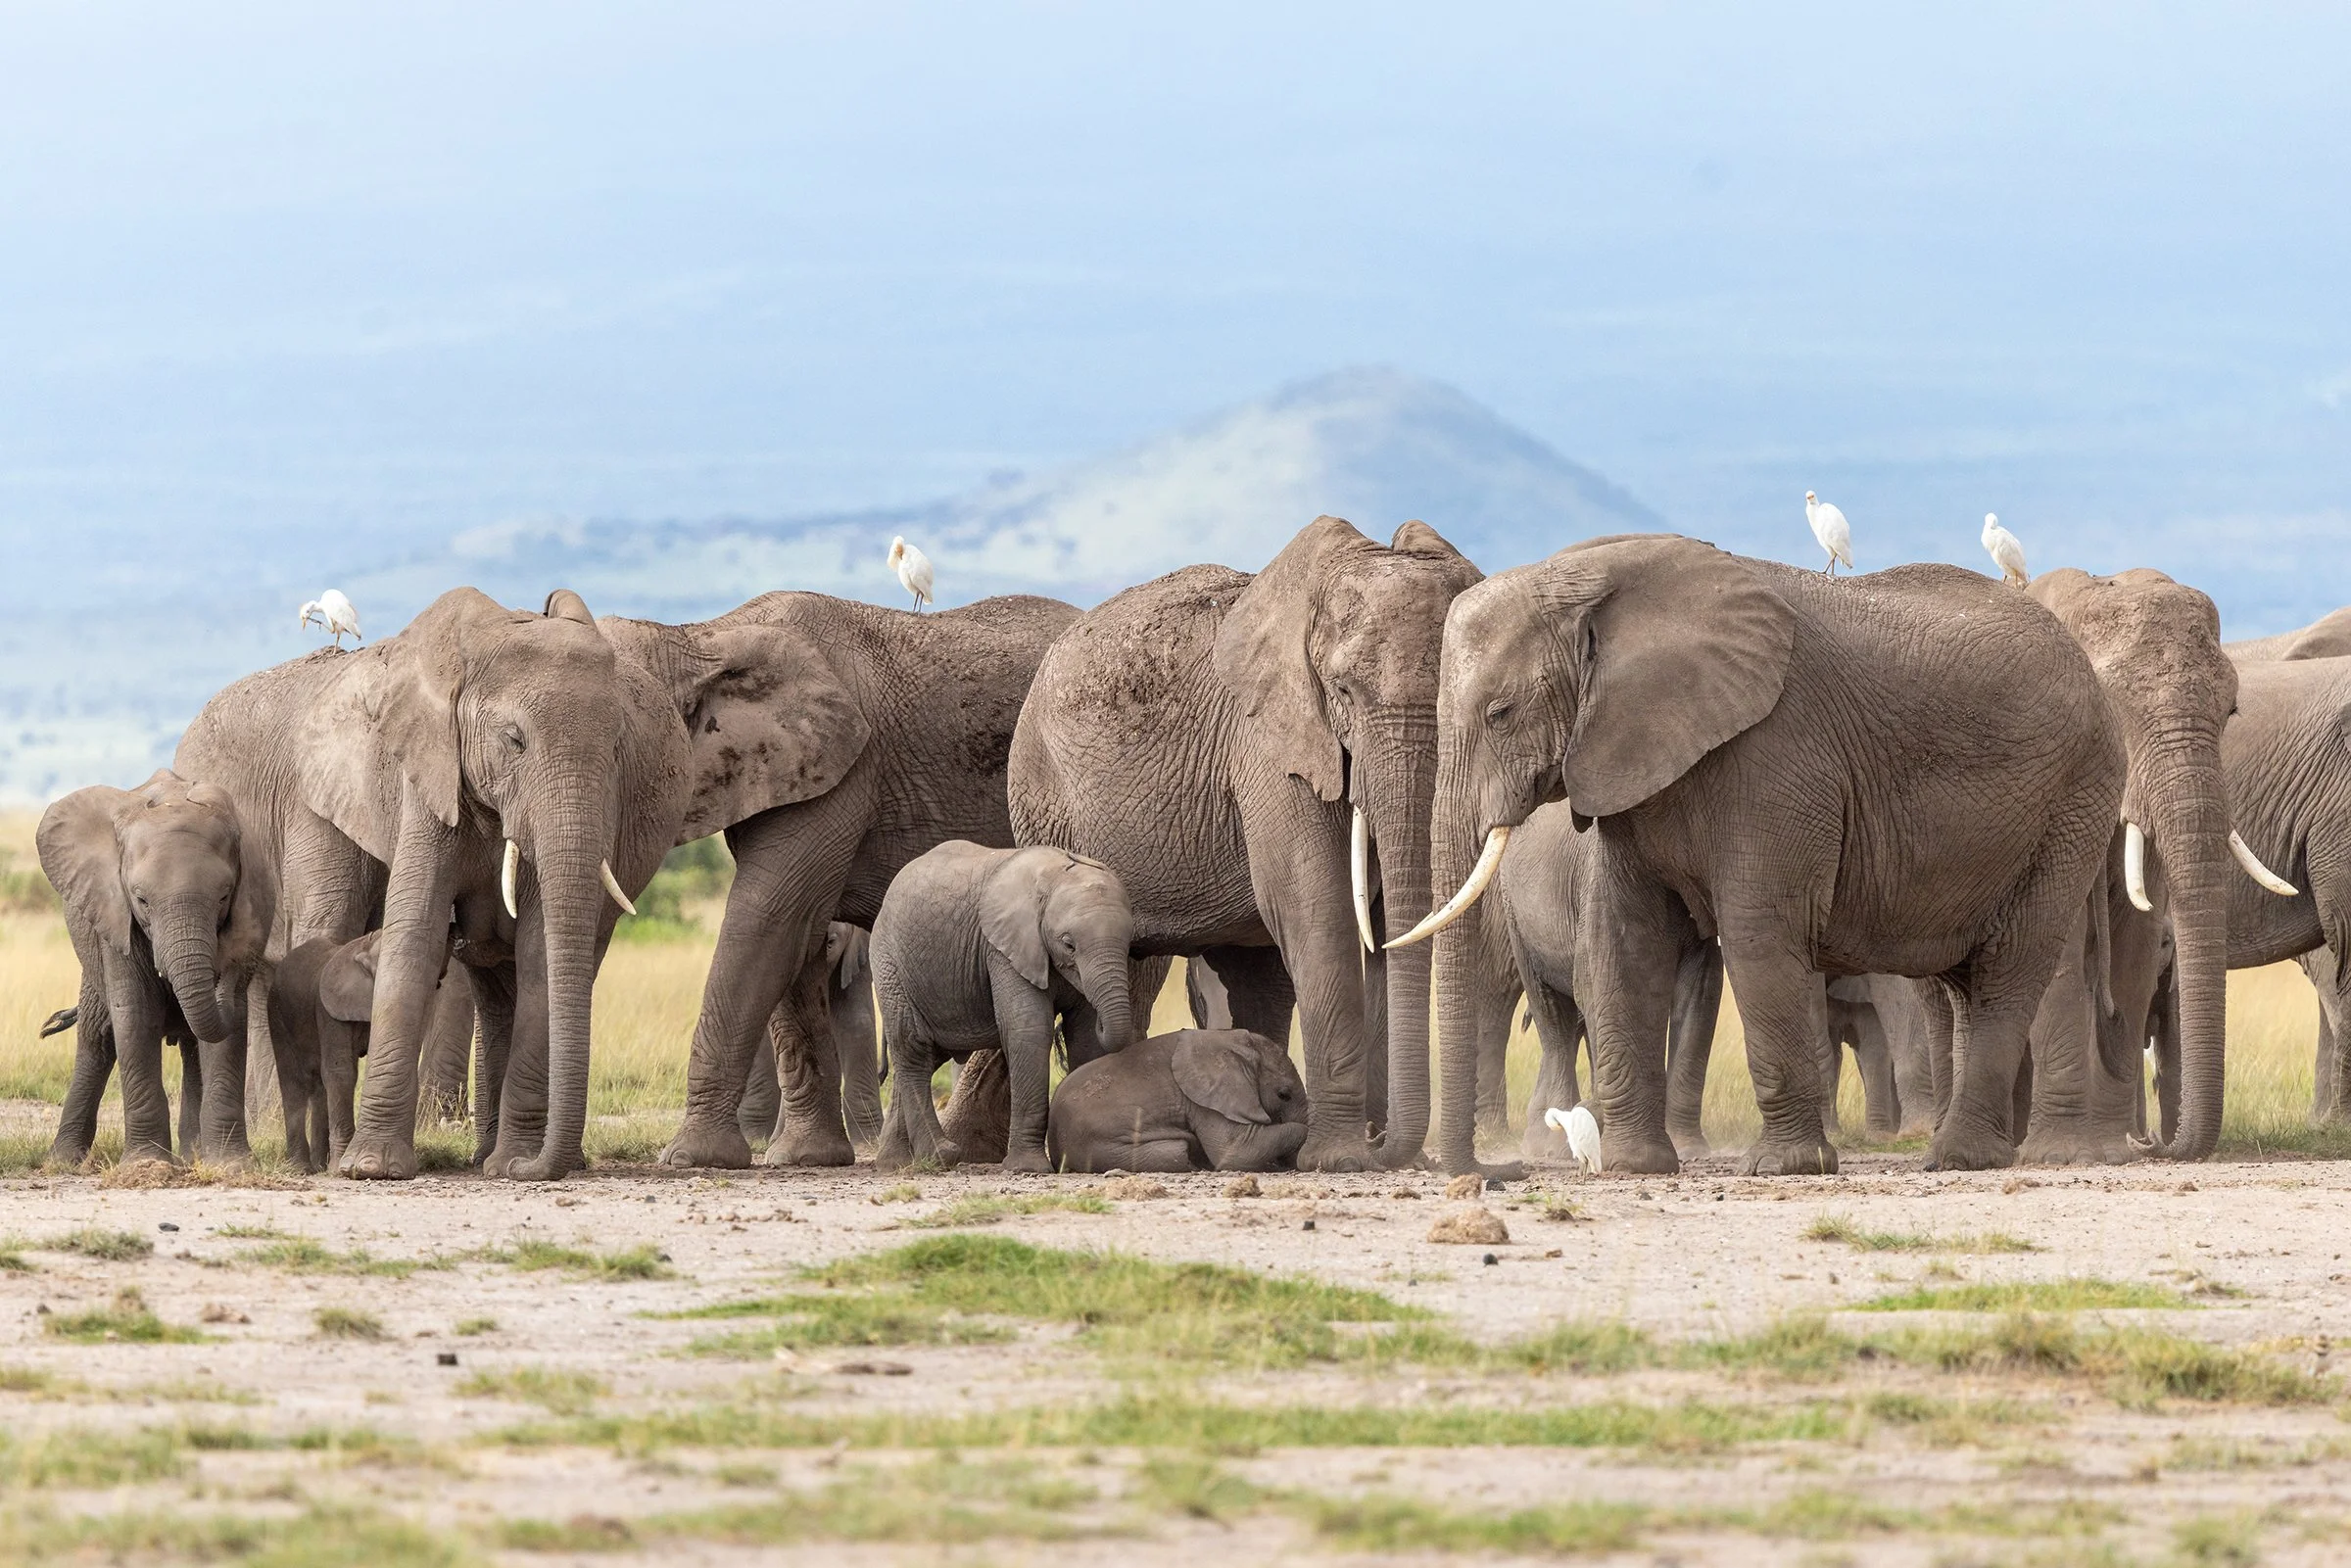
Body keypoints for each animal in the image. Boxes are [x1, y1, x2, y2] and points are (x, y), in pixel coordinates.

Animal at [39, 770, 275, 1166]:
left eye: (225, 897)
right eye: (141, 899)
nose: (228, 961)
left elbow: (229, 1030)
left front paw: (231, 1164)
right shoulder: (115, 913)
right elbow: (134, 1014)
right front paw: (147, 1164)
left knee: (193, 1045)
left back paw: (195, 1155)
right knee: (98, 1038)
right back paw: (63, 1160)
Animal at [177, 587, 688, 1181]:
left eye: (618, 749)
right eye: (514, 740)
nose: (528, 1168)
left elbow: (539, 949)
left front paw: (509, 1164)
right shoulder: (424, 771)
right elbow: (414, 931)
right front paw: (370, 1167)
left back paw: (494, 1157)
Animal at [872, 842, 1137, 1173]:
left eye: (1130, 943)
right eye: (1069, 944)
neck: (1054, 877)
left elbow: (1086, 1036)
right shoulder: (1002, 949)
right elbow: (1028, 1029)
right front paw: (1027, 1168)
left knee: (925, 1053)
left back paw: (895, 1162)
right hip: (890, 965)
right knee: (913, 1046)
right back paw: (939, 1156)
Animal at [1047, 1028, 1309, 1173]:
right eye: (1283, 1095)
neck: (1230, 1040)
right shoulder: (1204, 1100)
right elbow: (1235, 1151)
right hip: (1104, 1148)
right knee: (1176, 1151)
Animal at [1408, 535, 2125, 1177]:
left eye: (1501, 712)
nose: (1493, 1172)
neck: (1596, 575)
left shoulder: (1776, 757)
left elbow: (1756, 932)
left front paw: (1784, 1168)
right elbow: (1624, 941)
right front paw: (1637, 1168)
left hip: (2073, 802)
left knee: (2013, 962)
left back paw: (1957, 1159)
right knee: (1967, 978)